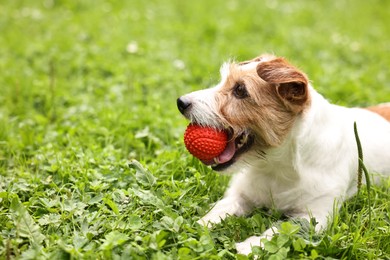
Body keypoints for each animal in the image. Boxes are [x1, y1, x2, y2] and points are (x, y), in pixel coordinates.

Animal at [176, 53, 390, 255]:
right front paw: (200, 224)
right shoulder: (240, 194)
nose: (181, 102)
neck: (277, 165)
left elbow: (281, 229)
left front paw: (251, 245)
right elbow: (221, 207)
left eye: (240, 90)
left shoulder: (315, 215)